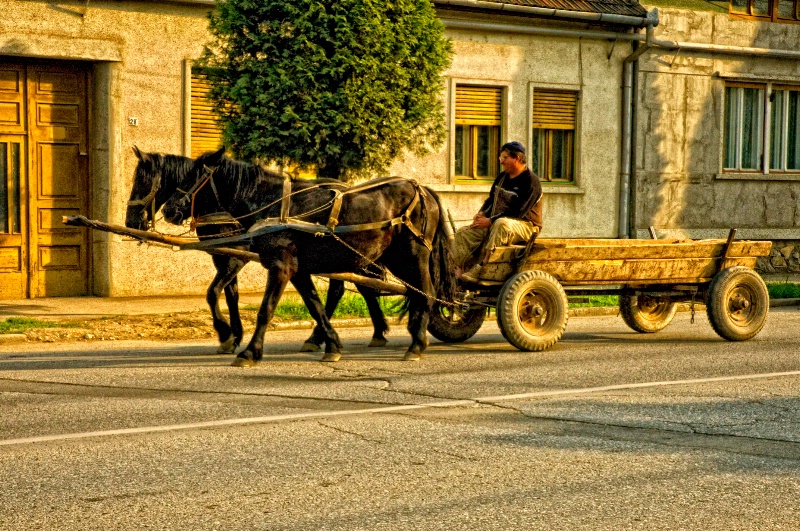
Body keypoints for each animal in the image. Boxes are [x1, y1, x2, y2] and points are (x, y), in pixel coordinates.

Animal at [122, 147, 390, 354]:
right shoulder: (223, 256)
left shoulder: (236, 256)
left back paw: (326, 336)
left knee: (346, 288)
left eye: (142, 182)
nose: (131, 221)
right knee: (354, 288)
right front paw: (235, 335)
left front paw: (226, 334)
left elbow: (213, 292)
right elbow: (230, 294)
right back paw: (366, 332)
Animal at [160, 149, 456, 366]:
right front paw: (332, 345)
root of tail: (421, 189)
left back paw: (416, 344)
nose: (168, 210)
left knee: (427, 294)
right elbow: (315, 306)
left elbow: (266, 310)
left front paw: (249, 352)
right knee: (406, 292)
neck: (272, 204)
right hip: (394, 258)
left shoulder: (280, 266)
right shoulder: (298, 271)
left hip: (413, 255)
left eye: (192, 177)